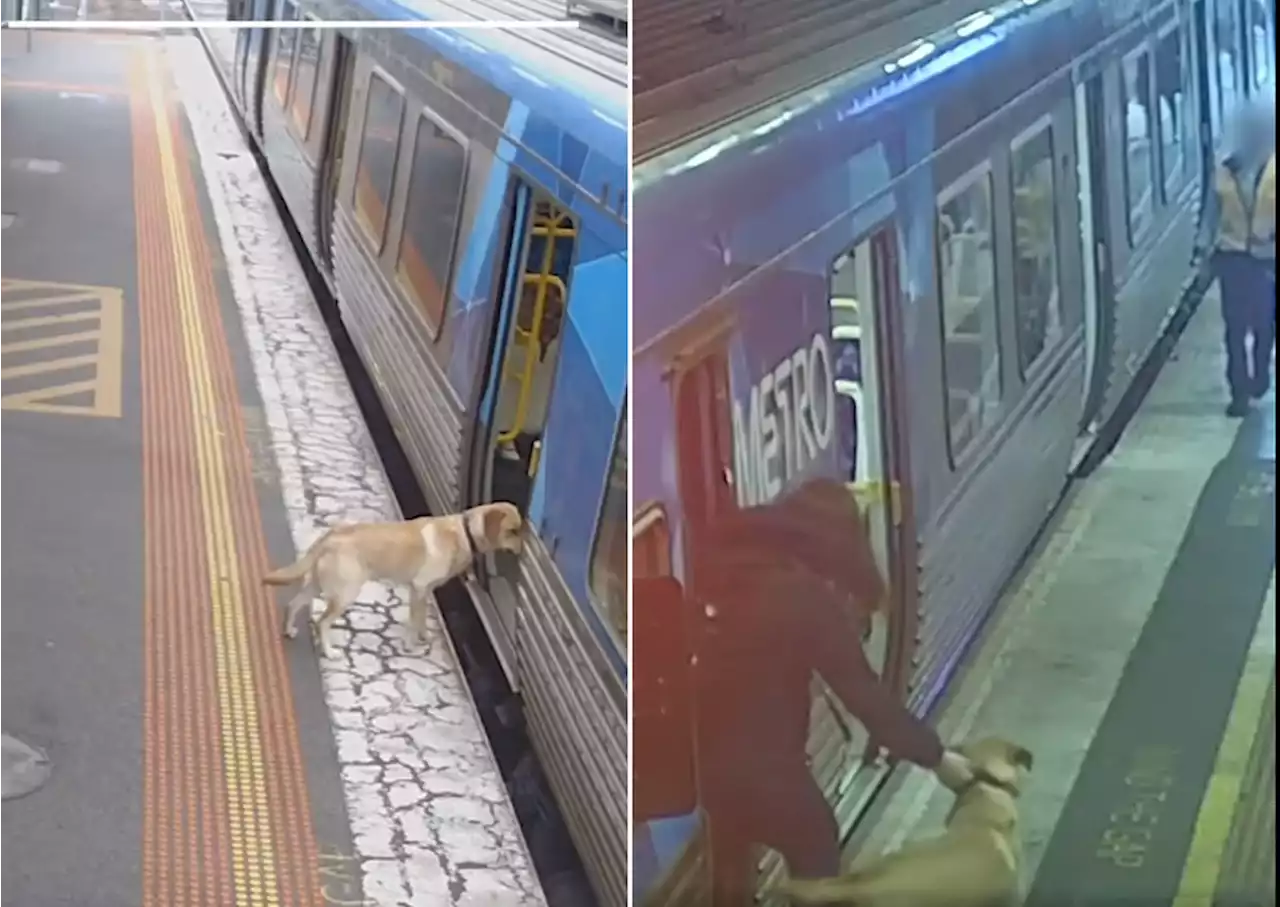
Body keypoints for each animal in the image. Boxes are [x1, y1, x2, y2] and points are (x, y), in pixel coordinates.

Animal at [262, 501, 522, 660]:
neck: (465, 532)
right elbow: (413, 621)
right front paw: (410, 645)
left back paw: (289, 630)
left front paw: (425, 637)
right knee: (321, 623)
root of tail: (329, 537)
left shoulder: (425, 592)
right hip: (345, 594)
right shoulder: (419, 588)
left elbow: (420, 620)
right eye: (512, 531)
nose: (523, 549)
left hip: (317, 586)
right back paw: (329, 651)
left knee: (293, 604)